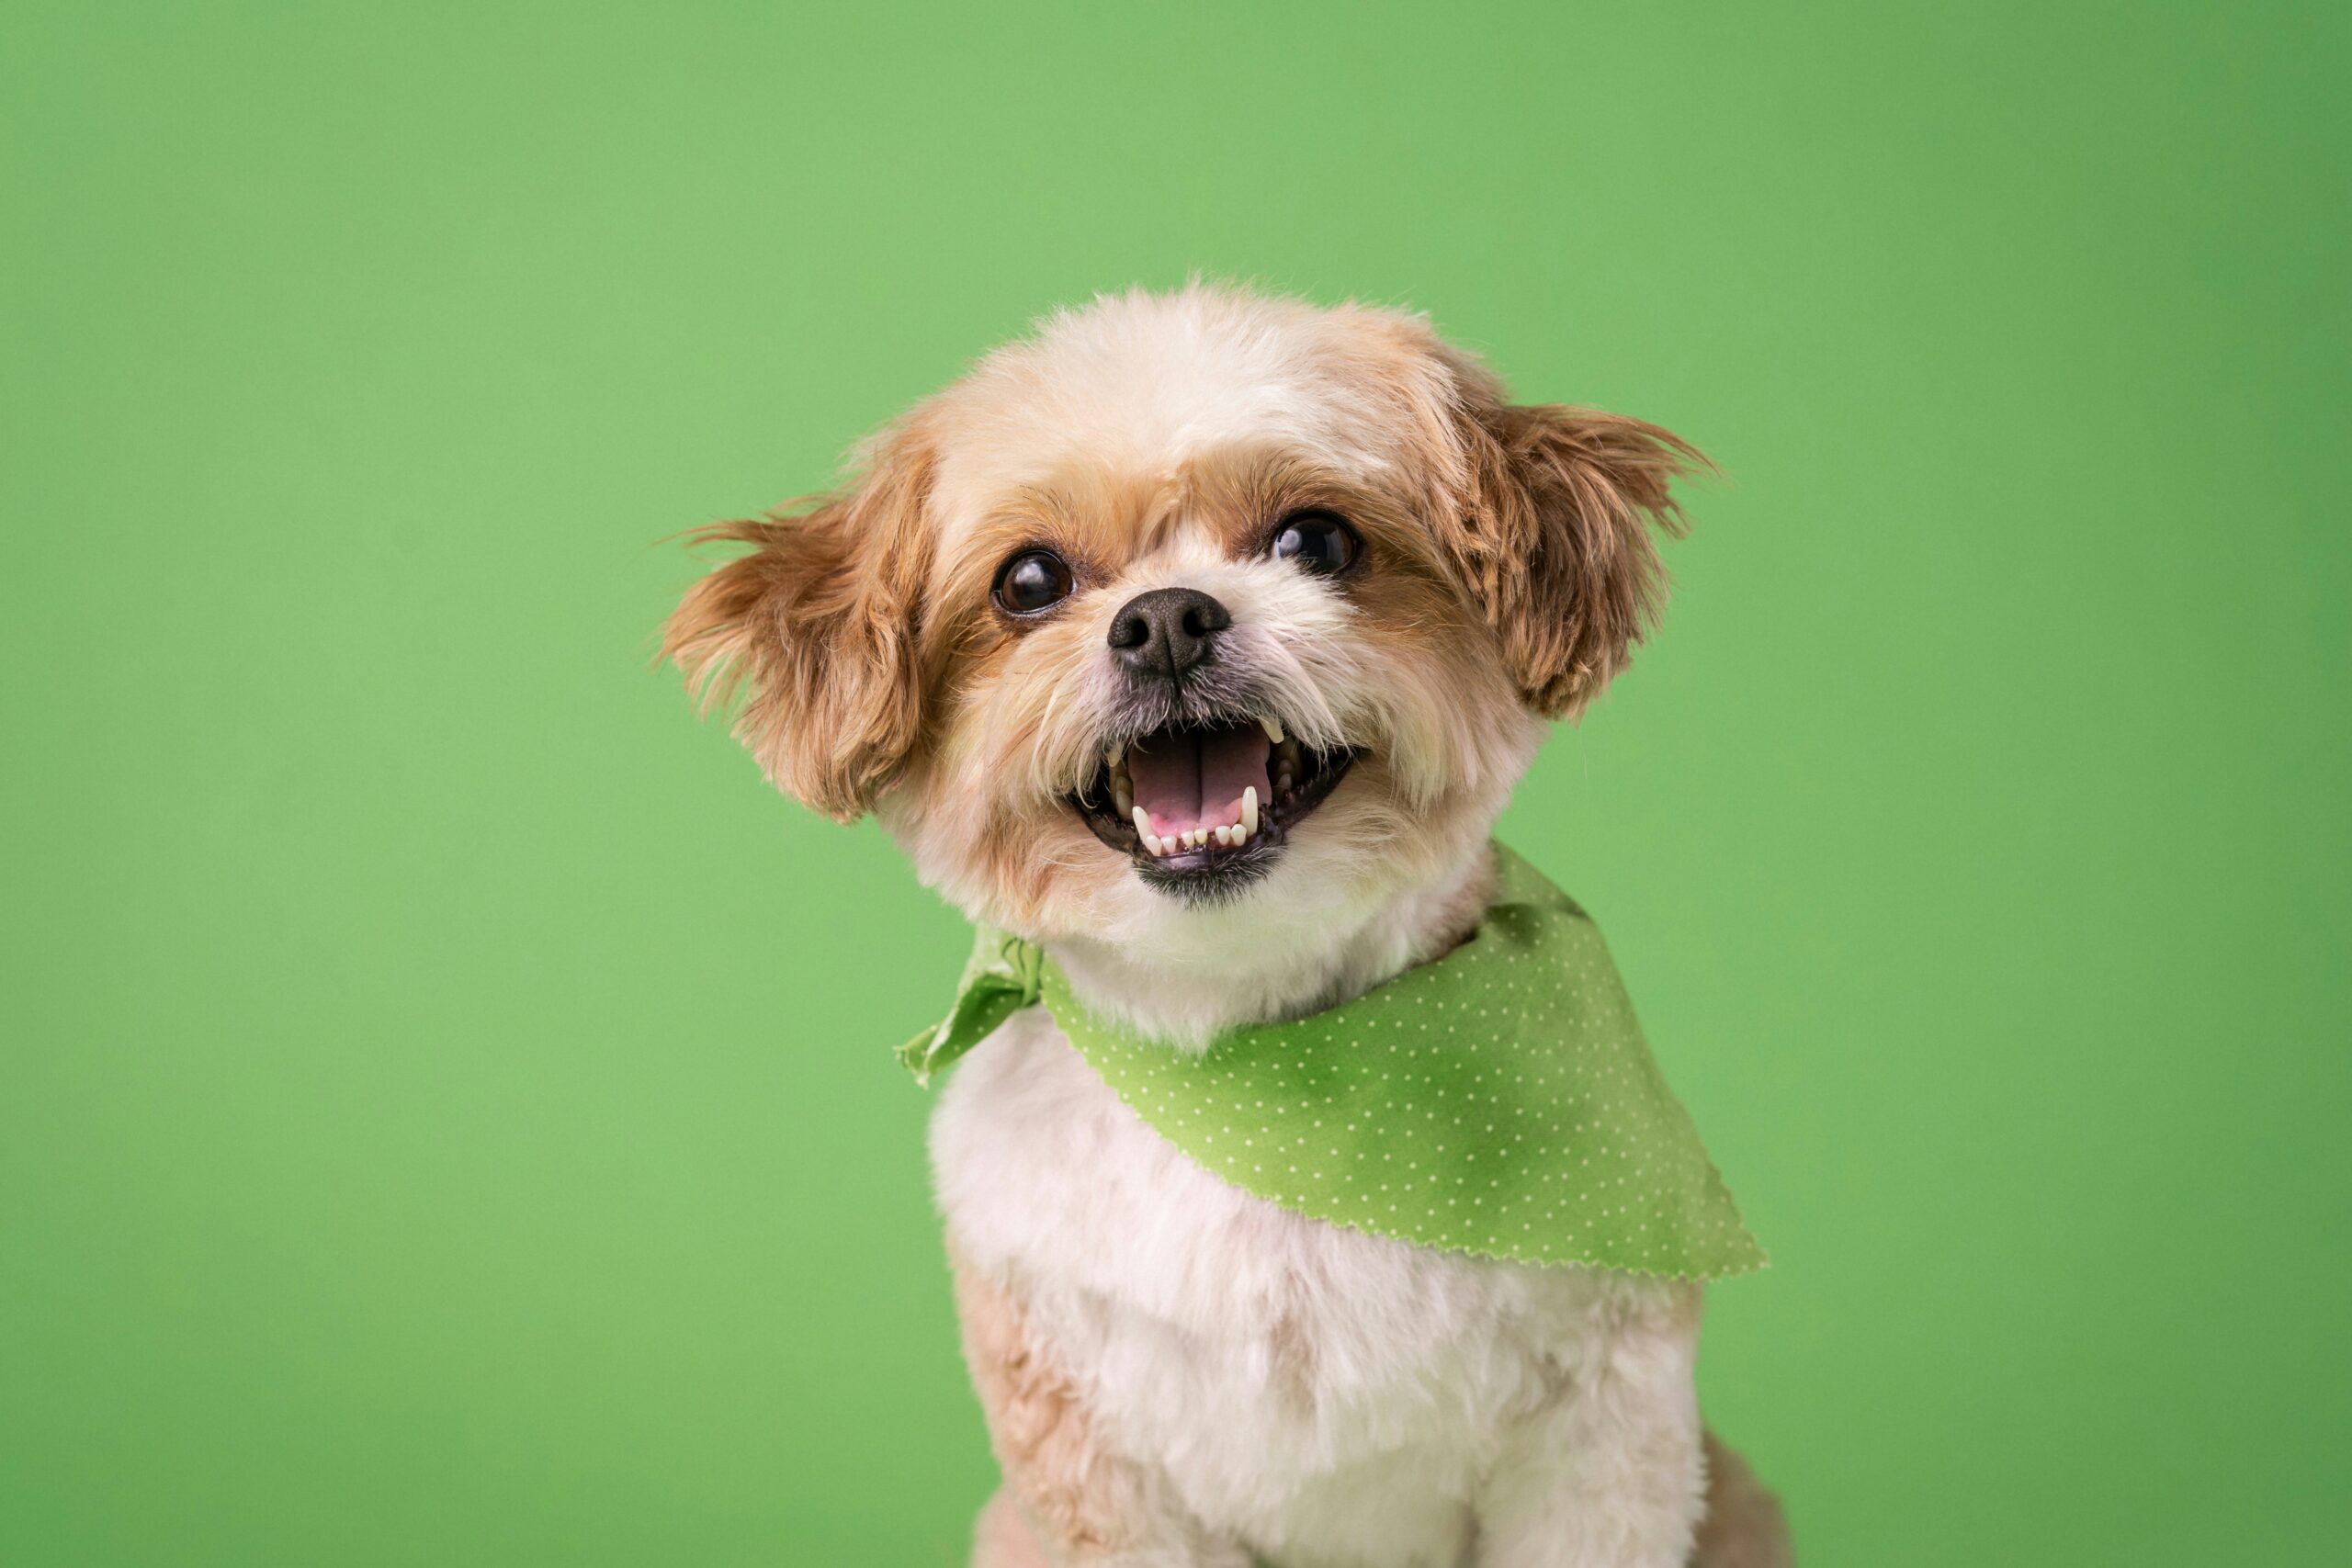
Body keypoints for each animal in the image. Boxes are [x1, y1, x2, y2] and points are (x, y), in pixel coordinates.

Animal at [673, 285, 1787, 1568]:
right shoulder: (1087, 1465)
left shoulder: (1599, 1437)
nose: (1163, 620)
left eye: (1316, 541)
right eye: (1029, 581)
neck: (1261, 1073)